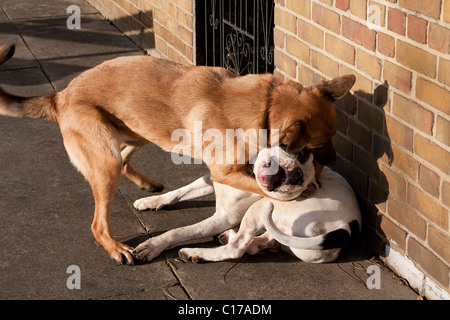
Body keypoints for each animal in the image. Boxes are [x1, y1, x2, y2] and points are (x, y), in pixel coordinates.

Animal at [132, 146, 360, 264]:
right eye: (299, 153)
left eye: (303, 186)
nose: (297, 175)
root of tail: (347, 229)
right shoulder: (212, 180)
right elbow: (179, 192)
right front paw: (150, 200)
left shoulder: (222, 218)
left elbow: (179, 231)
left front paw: (153, 245)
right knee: (260, 242)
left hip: (260, 209)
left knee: (236, 249)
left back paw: (196, 252)